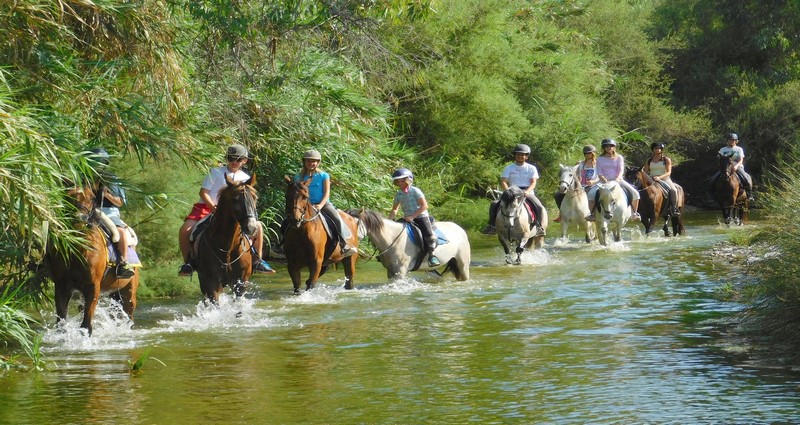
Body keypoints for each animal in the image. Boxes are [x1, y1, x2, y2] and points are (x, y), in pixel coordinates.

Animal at [46, 182, 139, 334]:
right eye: (68, 196)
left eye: (91, 198)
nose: (80, 219)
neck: (77, 250)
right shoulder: (61, 287)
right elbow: (61, 325)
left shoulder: (93, 287)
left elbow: (86, 326)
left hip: (128, 291)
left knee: (129, 314)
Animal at [192, 174, 258, 304]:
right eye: (235, 199)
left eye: (255, 198)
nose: (251, 227)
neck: (227, 248)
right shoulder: (211, 283)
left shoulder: (240, 283)